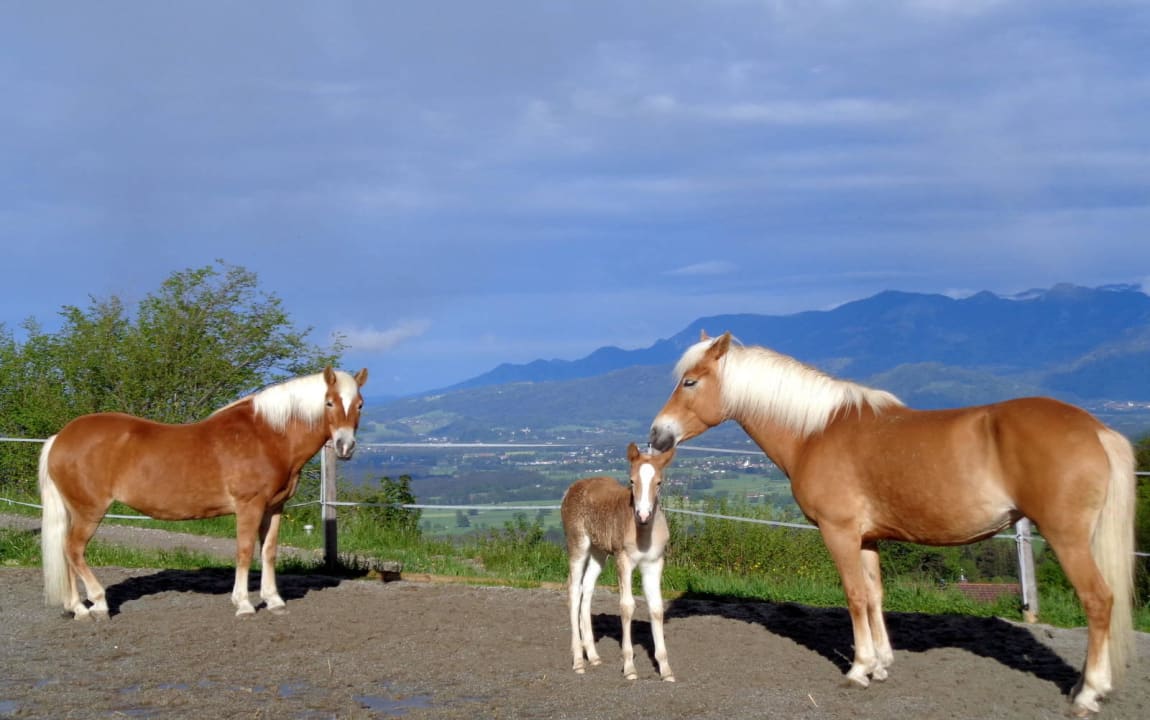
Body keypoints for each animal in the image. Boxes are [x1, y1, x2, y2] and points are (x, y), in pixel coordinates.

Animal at [38, 366, 369, 619]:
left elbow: (269, 552)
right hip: (89, 511)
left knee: (68, 553)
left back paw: (78, 608)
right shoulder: (249, 506)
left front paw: (273, 600)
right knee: (74, 550)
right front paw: (244, 604)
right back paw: (98, 603)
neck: (267, 436)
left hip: (75, 512)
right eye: (329, 402)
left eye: (360, 404)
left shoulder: (274, 508)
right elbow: (245, 551)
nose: (345, 446)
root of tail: (60, 438)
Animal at [561, 442, 677, 682]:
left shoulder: (654, 563)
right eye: (631, 480)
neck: (643, 534)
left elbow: (656, 609)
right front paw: (630, 667)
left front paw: (666, 670)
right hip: (578, 545)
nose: (643, 515)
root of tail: (571, 488)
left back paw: (593, 656)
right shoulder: (623, 560)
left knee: (587, 588)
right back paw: (578, 660)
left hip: (599, 552)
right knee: (574, 589)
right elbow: (627, 606)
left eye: (659, 482)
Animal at [649, 331, 1135, 716]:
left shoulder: (840, 533)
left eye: (690, 381)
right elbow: (874, 596)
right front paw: (881, 665)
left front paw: (859, 668)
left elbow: (854, 596)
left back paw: (1087, 694)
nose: (657, 435)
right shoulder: (867, 539)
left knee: (1099, 602)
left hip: (1068, 539)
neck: (816, 432)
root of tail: (1096, 430)